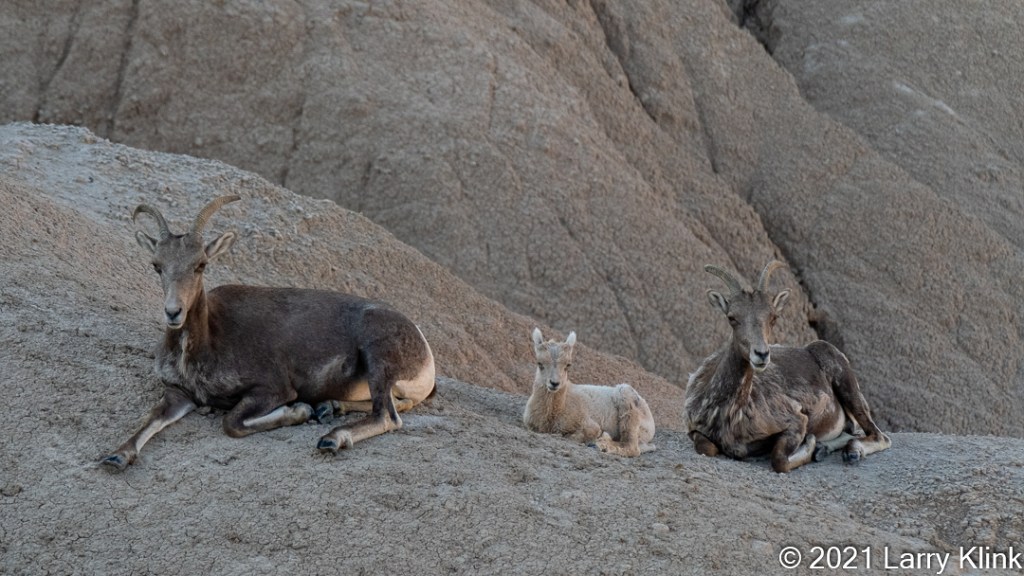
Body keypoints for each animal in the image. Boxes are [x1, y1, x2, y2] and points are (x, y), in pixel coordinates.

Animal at [101, 195, 436, 470]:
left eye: (200, 265)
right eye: (157, 265)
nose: (173, 312)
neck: (206, 342)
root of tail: (425, 352)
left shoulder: (272, 389)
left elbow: (232, 422)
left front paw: (300, 411)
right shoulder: (179, 393)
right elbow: (151, 419)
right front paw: (116, 456)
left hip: (377, 355)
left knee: (387, 415)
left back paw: (331, 437)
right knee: (399, 404)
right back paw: (328, 407)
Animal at [523, 328, 656, 457]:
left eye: (568, 365)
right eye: (540, 363)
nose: (554, 383)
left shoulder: (590, 425)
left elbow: (576, 436)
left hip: (626, 399)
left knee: (632, 448)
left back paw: (601, 445)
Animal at [684, 260, 891, 473]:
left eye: (773, 317)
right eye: (732, 317)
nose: (761, 354)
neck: (727, 414)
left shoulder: (796, 420)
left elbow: (779, 460)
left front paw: (810, 444)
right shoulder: (694, 430)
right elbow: (706, 447)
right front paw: (815, 447)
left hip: (849, 389)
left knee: (879, 436)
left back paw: (850, 453)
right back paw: (823, 450)